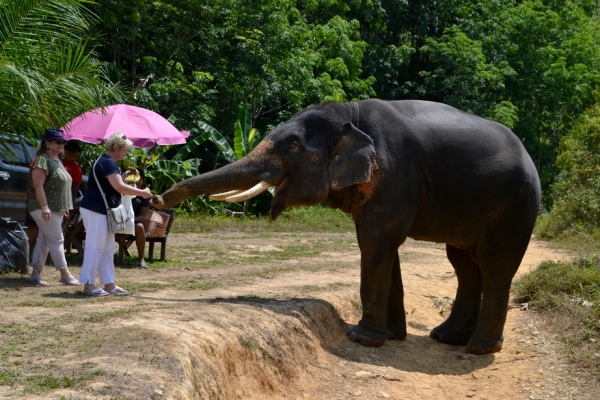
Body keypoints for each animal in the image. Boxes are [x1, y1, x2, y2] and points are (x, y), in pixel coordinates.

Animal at [152, 100, 540, 356]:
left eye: (293, 146)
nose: (155, 198)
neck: (350, 115)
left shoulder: (394, 176)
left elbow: (376, 241)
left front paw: (360, 339)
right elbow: (382, 246)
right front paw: (391, 336)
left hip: (517, 205)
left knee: (494, 264)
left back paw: (478, 350)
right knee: (464, 264)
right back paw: (445, 338)